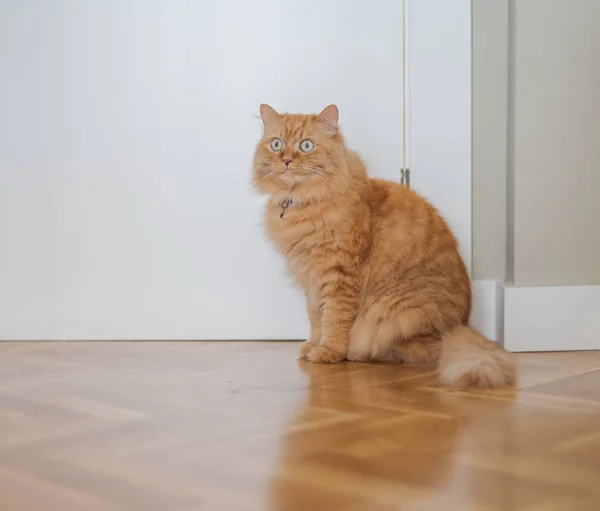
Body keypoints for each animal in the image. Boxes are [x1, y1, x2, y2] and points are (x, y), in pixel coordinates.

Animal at [253, 106, 516, 390]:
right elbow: (316, 320)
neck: (303, 203)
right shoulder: (311, 281)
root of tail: (457, 329)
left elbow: (334, 319)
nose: (287, 160)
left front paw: (328, 351)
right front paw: (312, 346)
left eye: (306, 145)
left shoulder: (338, 277)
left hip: (396, 314)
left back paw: (356, 354)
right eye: (276, 144)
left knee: (404, 348)